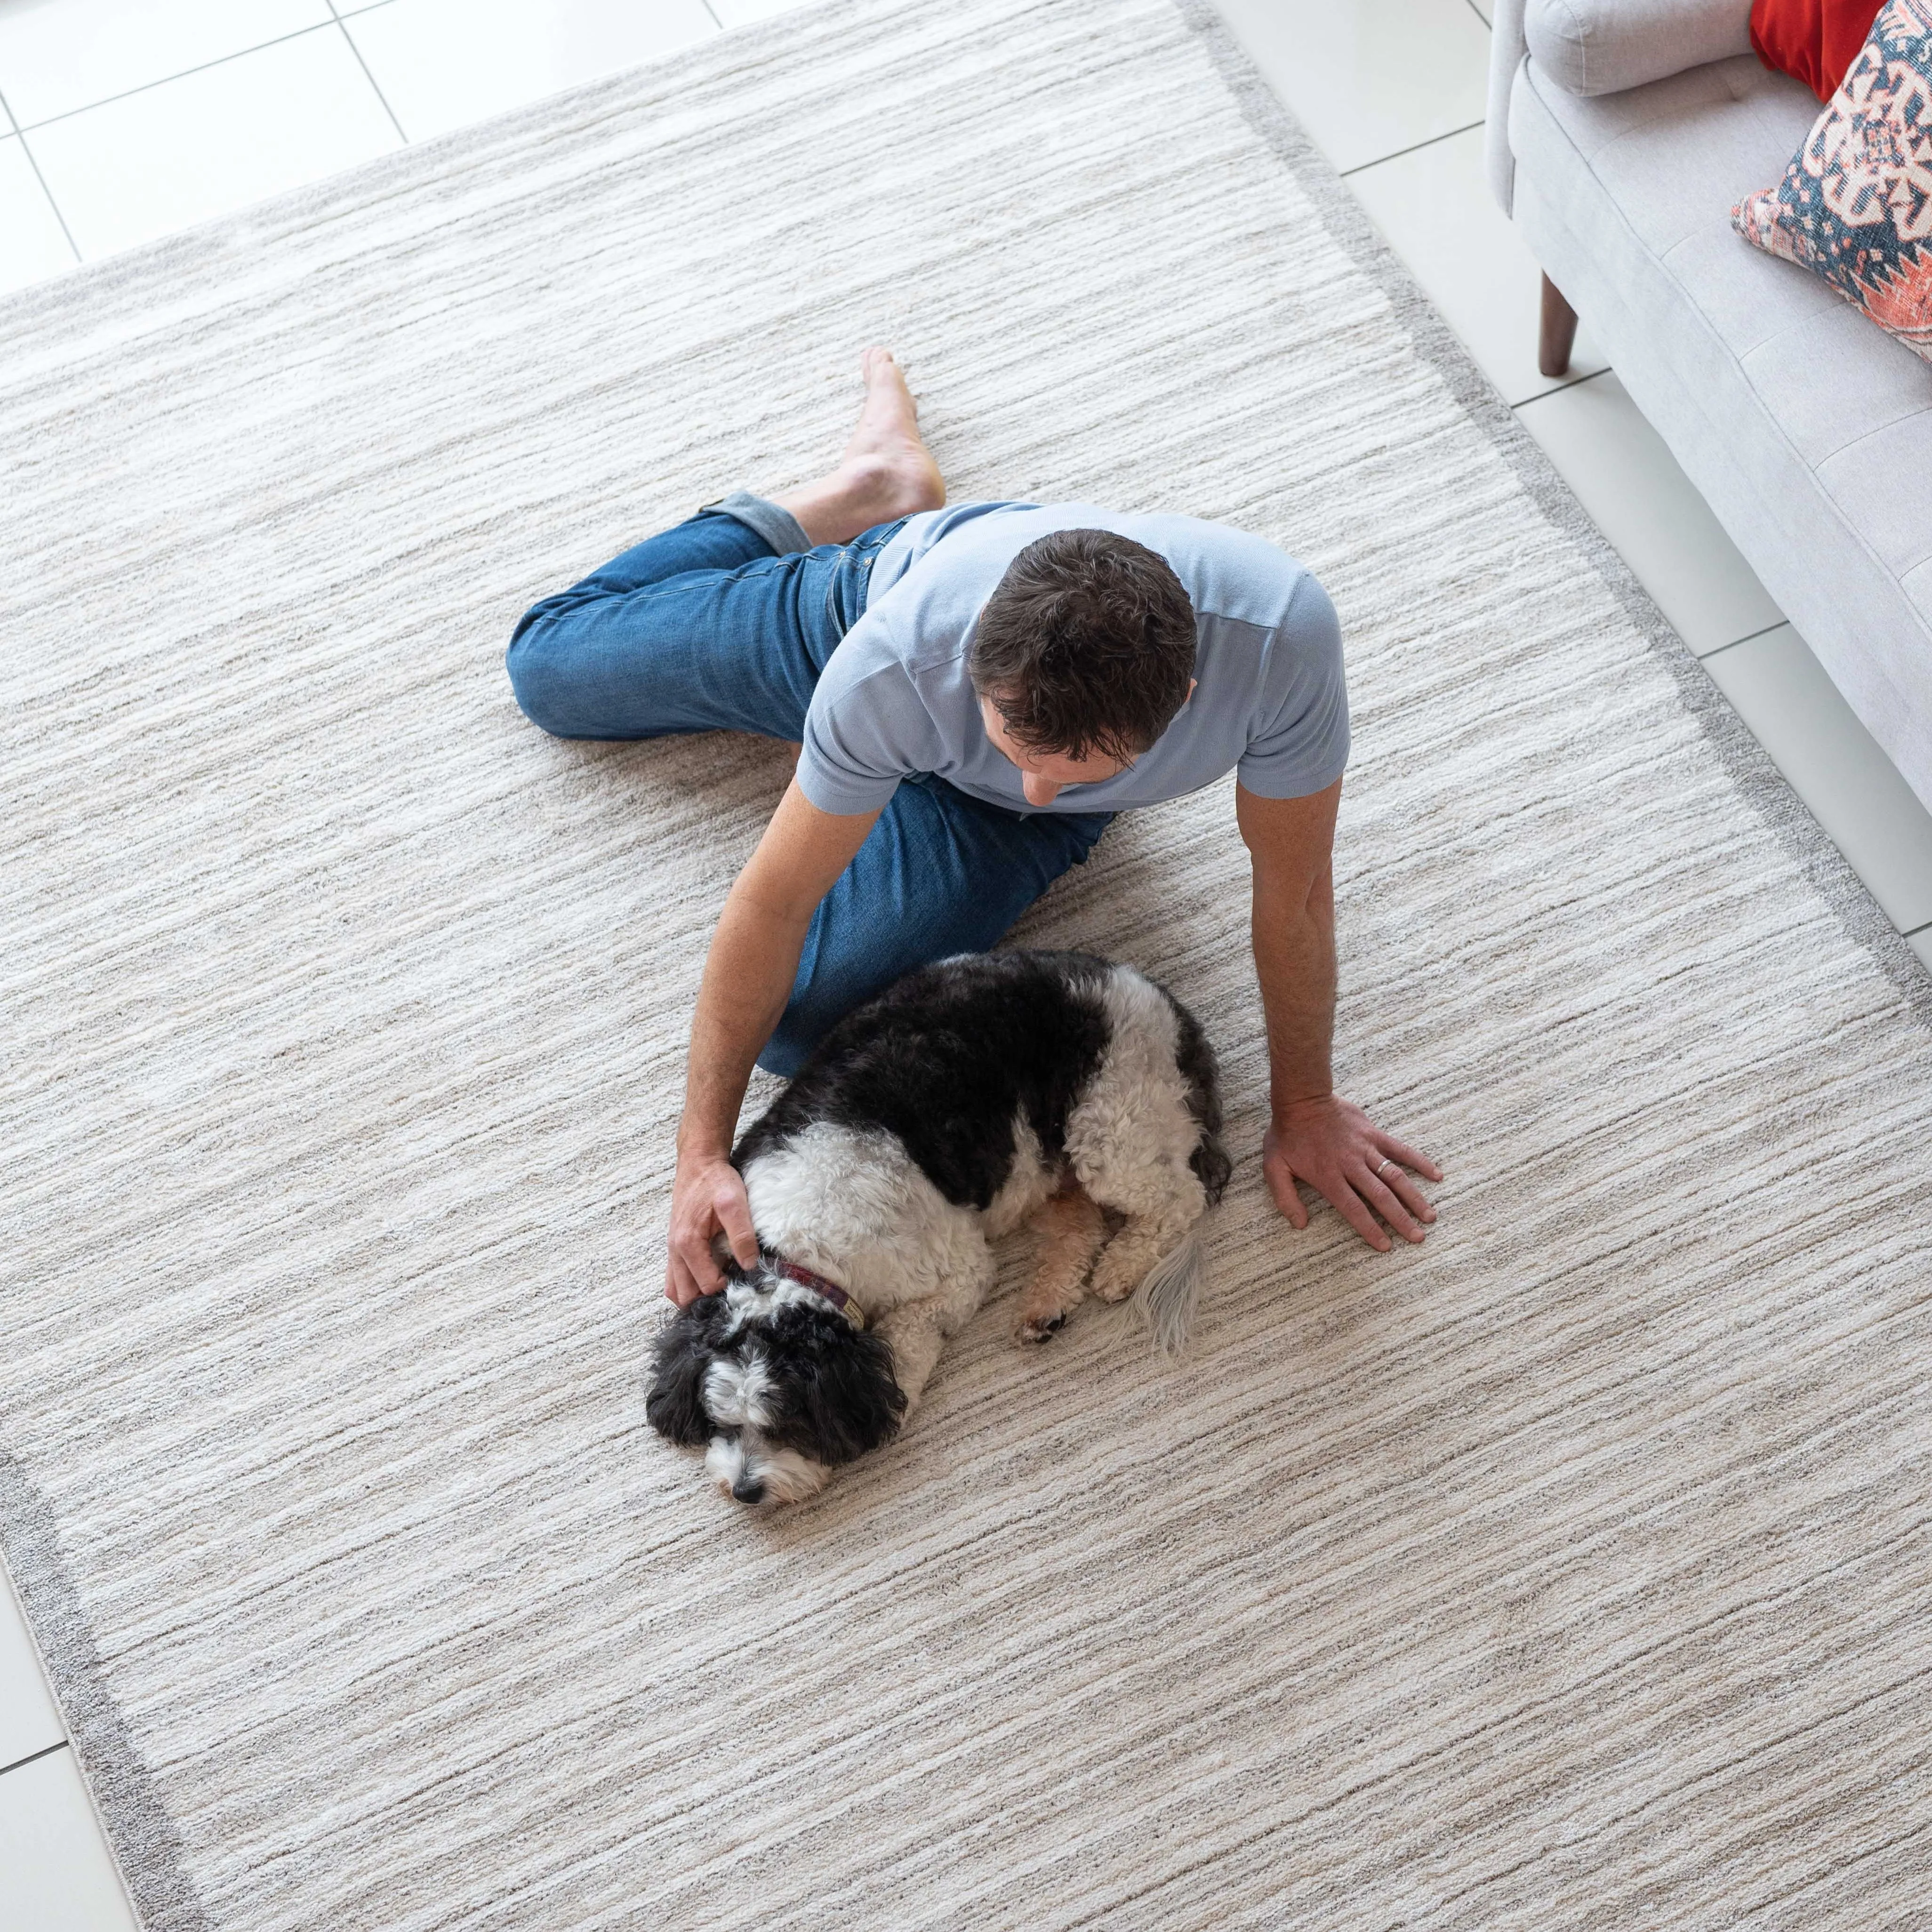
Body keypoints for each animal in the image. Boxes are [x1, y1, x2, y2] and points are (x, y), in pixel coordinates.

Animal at [641, 950, 1228, 1507]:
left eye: (788, 1424)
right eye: (719, 1422)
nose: (744, 1490)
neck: (795, 1250)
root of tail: (1166, 1007)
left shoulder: (956, 1271)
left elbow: (907, 1337)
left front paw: (894, 1399)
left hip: (1111, 1123)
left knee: (1178, 1198)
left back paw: (1123, 1264)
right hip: (1042, 1161)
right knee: (1079, 1221)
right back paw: (1046, 1304)